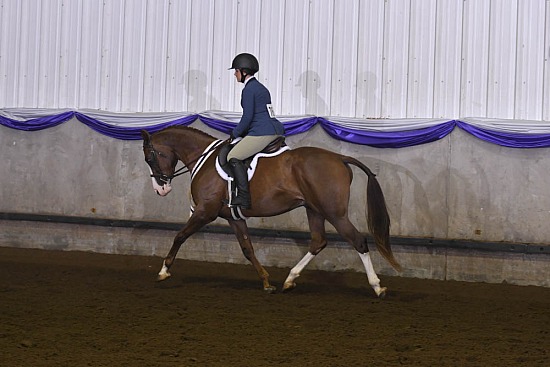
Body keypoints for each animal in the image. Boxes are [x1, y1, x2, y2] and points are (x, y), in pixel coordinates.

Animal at [141, 126, 402, 300]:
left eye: (150, 157)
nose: (161, 189)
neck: (204, 159)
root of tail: (340, 157)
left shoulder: (205, 212)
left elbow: (180, 236)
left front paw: (164, 271)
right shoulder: (233, 217)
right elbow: (247, 248)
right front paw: (266, 282)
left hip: (334, 213)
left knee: (358, 241)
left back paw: (377, 286)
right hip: (314, 210)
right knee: (318, 241)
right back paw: (289, 279)